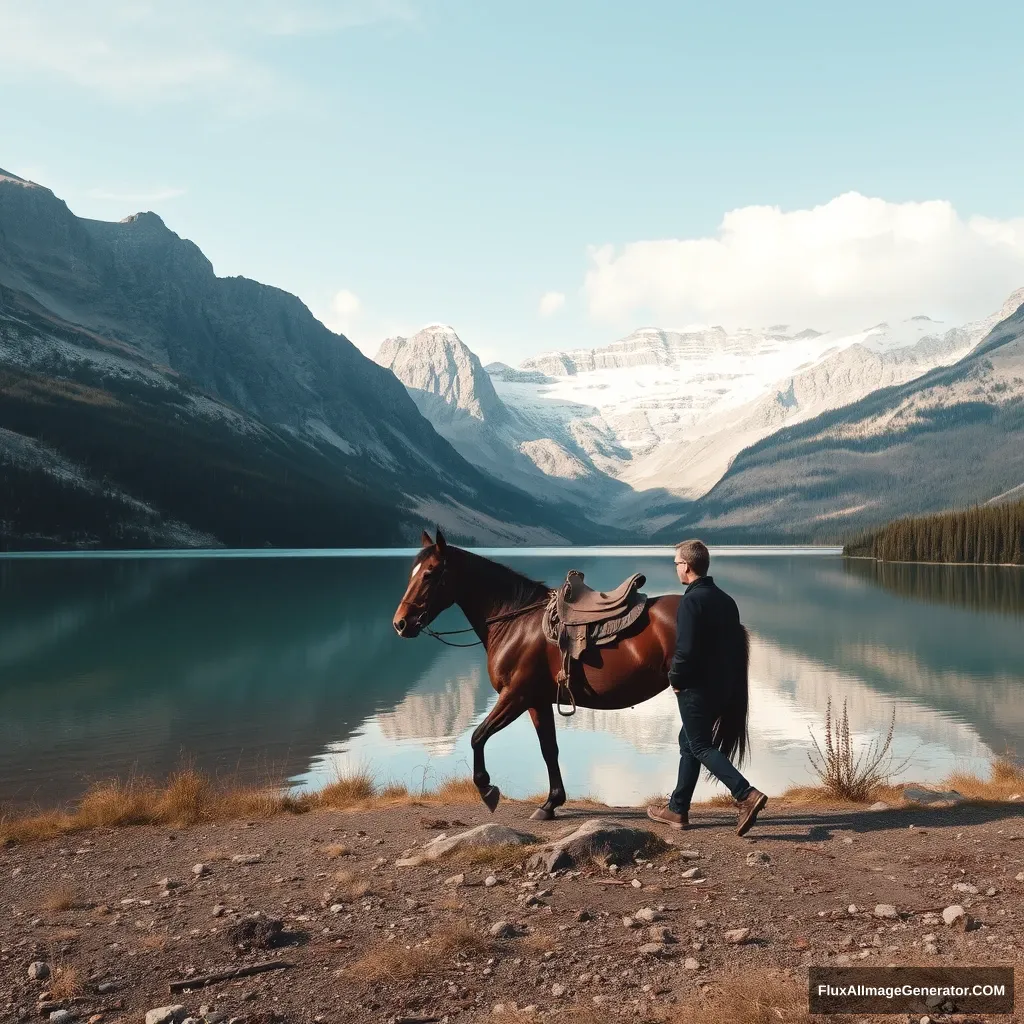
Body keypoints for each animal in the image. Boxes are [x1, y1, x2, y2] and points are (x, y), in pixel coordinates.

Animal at [387, 532, 749, 819]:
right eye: (414, 572)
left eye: (430, 574)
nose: (401, 623)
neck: (515, 622)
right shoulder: (536, 701)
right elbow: (550, 749)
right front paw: (551, 803)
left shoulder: (515, 696)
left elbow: (478, 736)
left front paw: (488, 790)